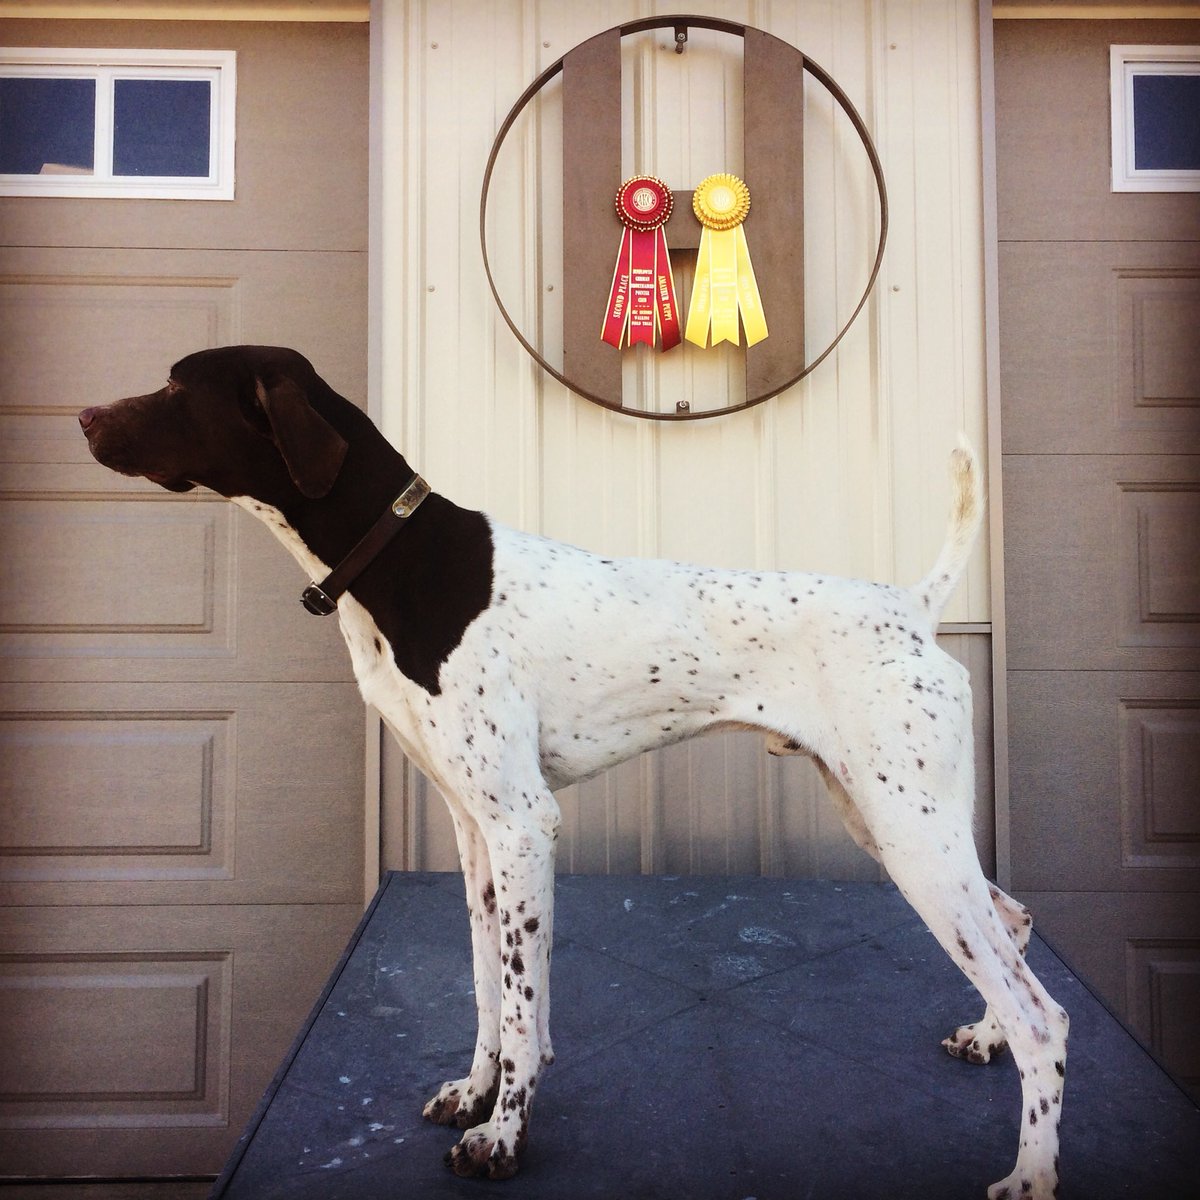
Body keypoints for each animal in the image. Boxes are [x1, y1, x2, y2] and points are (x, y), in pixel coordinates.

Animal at [79, 348, 1065, 1200]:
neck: (401, 565)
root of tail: (912, 609)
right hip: (893, 823)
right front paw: (475, 1094)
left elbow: (522, 1006)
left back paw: (1031, 1173)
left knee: (1041, 1013)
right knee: (1013, 927)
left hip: (914, 836)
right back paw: (985, 1040)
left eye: (178, 386)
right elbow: (490, 987)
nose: (83, 416)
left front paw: (503, 1137)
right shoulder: (474, 832)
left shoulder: (524, 825)